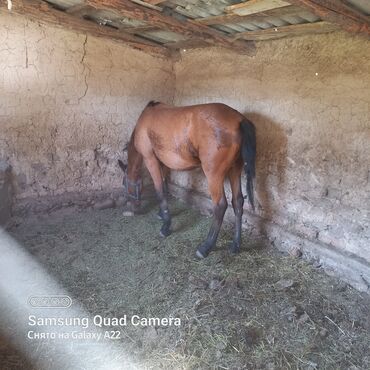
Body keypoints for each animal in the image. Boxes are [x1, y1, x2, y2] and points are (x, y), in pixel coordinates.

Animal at [117, 101, 256, 258]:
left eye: (124, 184)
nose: (132, 206)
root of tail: (239, 119)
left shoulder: (150, 159)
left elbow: (159, 191)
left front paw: (166, 226)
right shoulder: (163, 163)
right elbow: (164, 187)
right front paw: (161, 214)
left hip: (214, 175)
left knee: (220, 206)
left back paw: (206, 247)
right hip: (235, 170)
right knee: (238, 202)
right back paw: (235, 245)